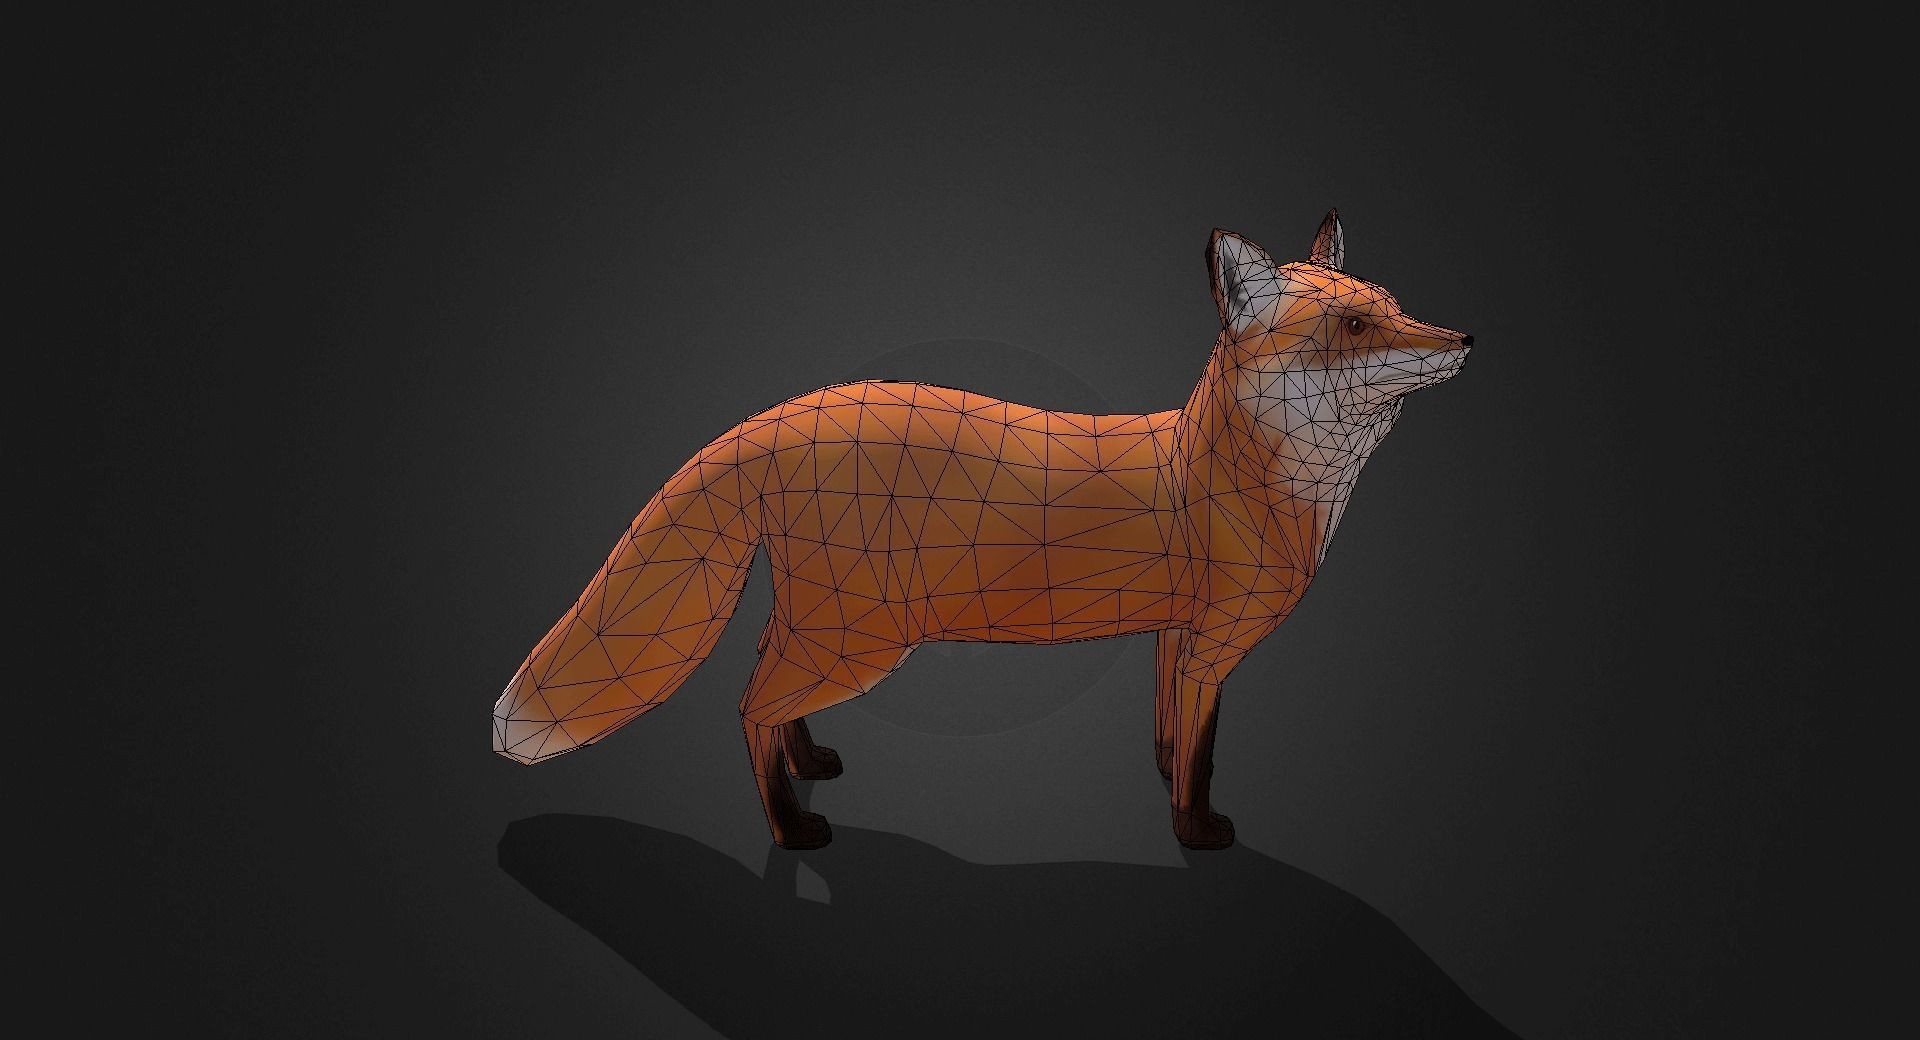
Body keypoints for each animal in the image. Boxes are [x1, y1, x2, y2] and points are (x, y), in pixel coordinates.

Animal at [492, 211, 1473, 850]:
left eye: (1393, 304)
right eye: (1355, 325)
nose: (1463, 339)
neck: (1244, 475)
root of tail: (790, 411)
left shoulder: (1176, 636)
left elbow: (1169, 733)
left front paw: (1162, 781)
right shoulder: (1214, 645)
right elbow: (1201, 755)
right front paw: (1194, 830)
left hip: (825, 624)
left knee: (766, 689)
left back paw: (810, 763)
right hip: (861, 639)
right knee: (747, 706)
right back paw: (792, 827)